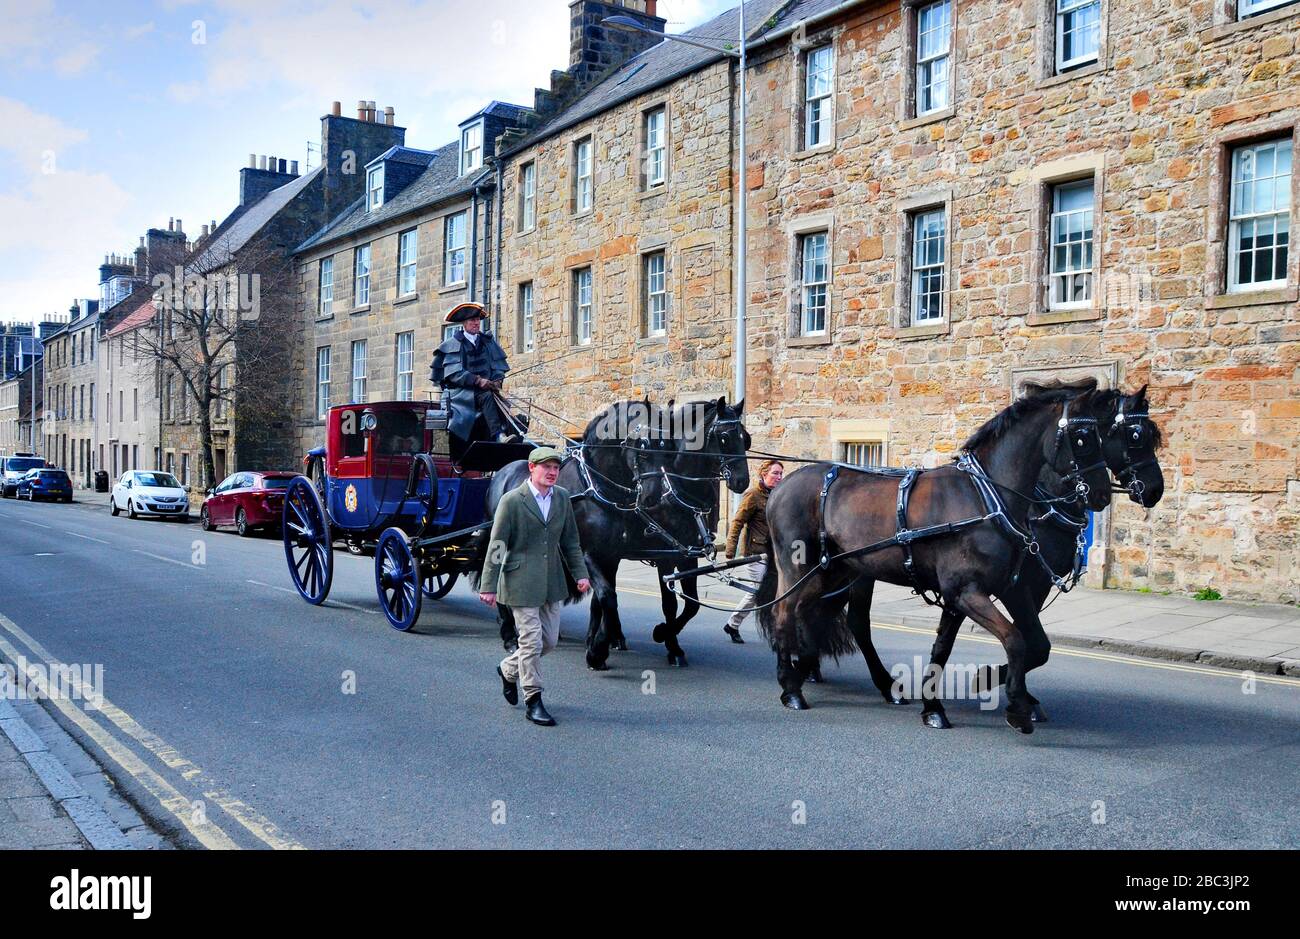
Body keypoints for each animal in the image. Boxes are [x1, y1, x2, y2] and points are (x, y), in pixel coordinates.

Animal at [759, 382, 1112, 733]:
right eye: (1082, 438)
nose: (1102, 494)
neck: (984, 497)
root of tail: (782, 485)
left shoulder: (980, 592)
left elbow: (948, 647)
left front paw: (935, 706)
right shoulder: (967, 590)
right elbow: (1015, 640)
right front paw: (1015, 706)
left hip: (833, 570)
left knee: (809, 612)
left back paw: (808, 669)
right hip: (798, 565)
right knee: (784, 611)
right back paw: (791, 687)